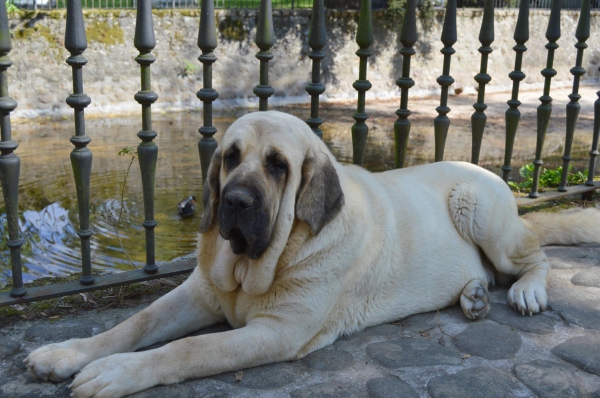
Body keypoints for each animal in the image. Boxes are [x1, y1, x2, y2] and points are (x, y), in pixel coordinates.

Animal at [25, 111, 600, 398]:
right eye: (230, 157)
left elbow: (187, 350)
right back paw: (474, 296)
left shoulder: (274, 332)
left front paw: (116, 373)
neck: (256, 264)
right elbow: (135, 324)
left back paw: (525, 292)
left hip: (478, 209)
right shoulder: (199, 292)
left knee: (533, 258)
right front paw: (69, 353)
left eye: (278, 165)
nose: (235, 201)